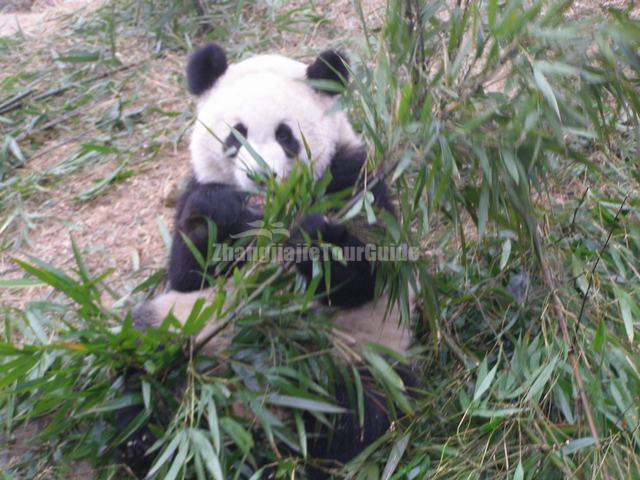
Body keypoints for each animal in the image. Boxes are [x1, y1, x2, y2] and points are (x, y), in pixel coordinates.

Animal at [117, 43, 416, 478]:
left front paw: (311, 238)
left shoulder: (352, 180)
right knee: (141, 366)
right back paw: (146, 442)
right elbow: (188, 271)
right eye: (235, 135)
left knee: (357, 413)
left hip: (354, 357)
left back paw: (302, 454)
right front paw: (221, 210)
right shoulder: (199, 191)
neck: (272, 211)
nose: (261, 176)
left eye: (285, 135)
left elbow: (373, 273)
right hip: (182, 326)